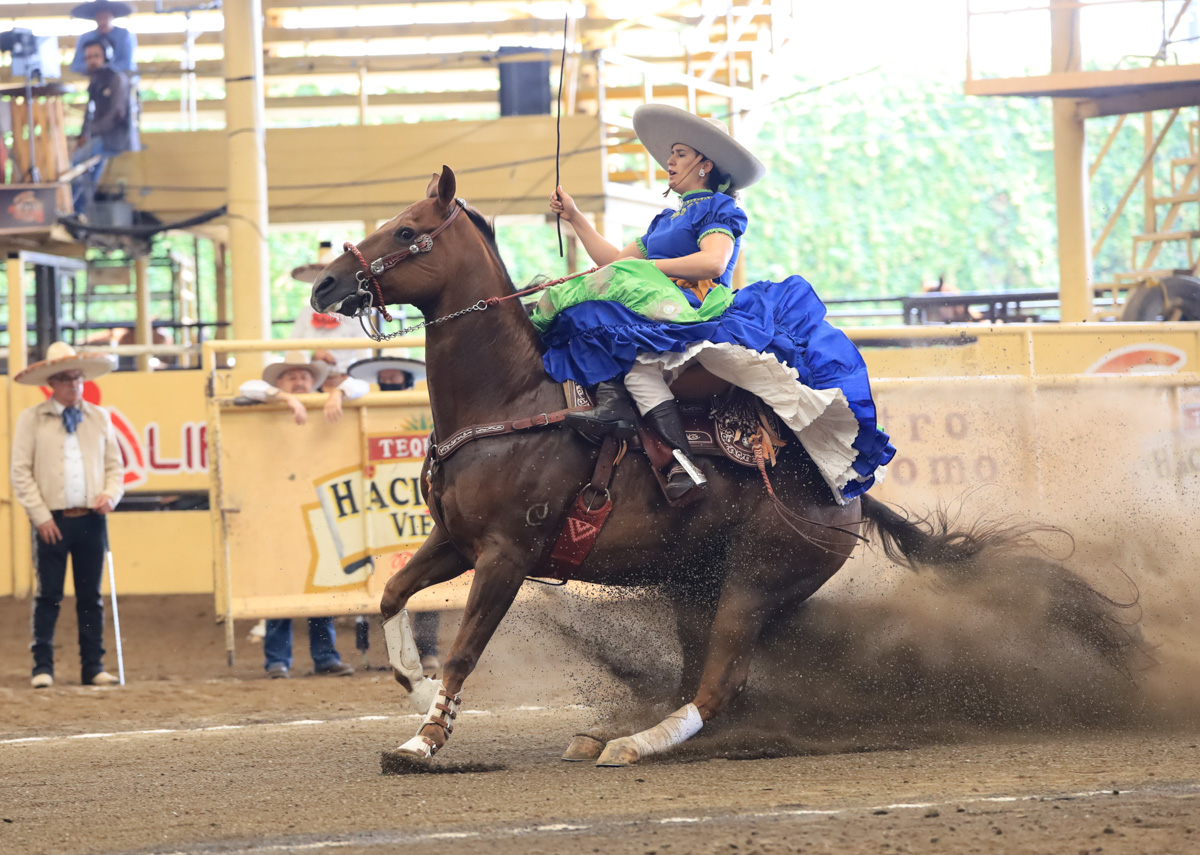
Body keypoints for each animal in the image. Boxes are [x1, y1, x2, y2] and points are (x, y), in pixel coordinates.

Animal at [309, 166, 1132, 768]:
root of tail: (848, 491)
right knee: (705, 671)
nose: (323, 284)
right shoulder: (454, 540)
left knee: (721, 680)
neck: (514, 396)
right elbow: (391, 594)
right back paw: (620, 733)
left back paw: (636, 743)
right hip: (698, 582)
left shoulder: (507, 554)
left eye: (407, 231)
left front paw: (423, 741)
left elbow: (466, 649)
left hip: (751, 581)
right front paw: (412, 686)